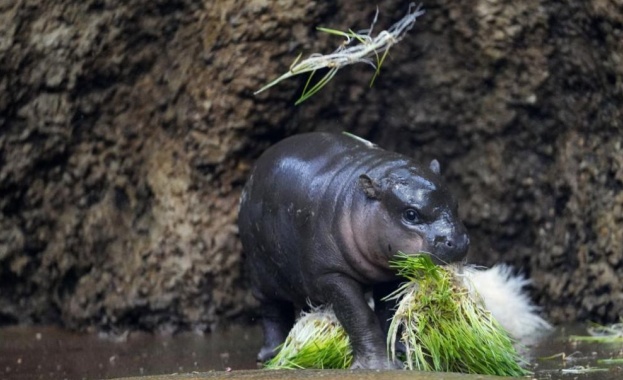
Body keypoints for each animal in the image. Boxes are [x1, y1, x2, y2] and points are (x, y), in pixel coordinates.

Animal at [239, 132, 468, 370]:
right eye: (411, 214)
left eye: (456, 204)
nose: (458, 241)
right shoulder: (331, 275)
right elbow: (359, 315)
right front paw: (379, 366)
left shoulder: (390, 274)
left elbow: (388, 313)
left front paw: (400, 356)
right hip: (261, 272)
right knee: (272, 310)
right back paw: (271, 356)